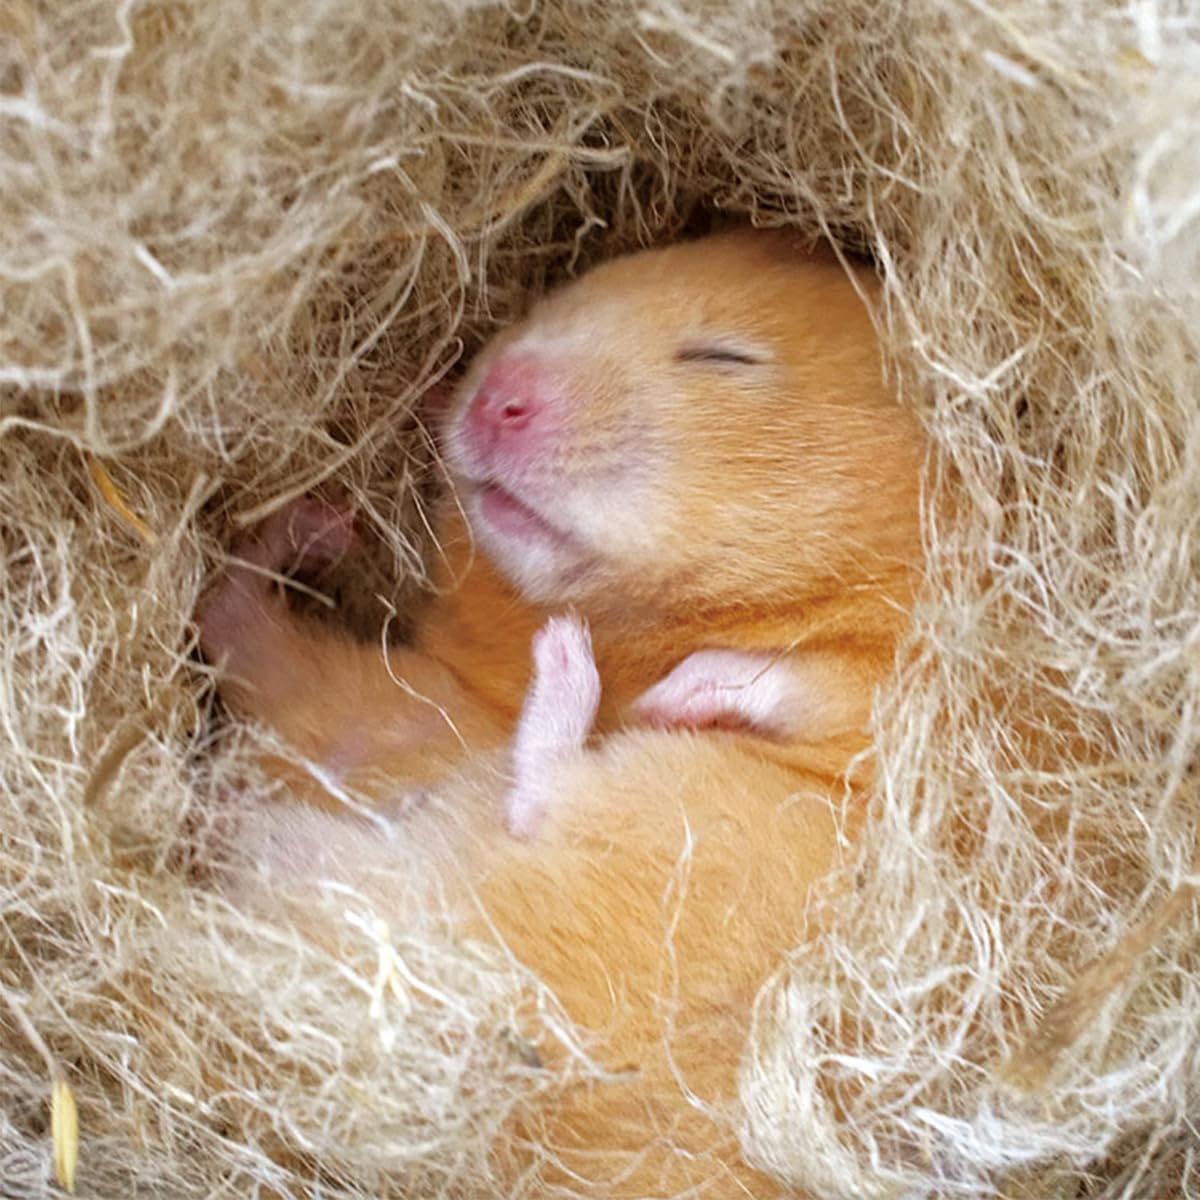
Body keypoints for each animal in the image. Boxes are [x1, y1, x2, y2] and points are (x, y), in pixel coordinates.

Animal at [197, 229, 925, 1196]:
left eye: (724, 358)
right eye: (559, 298)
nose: (497, 393)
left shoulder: (912, 672)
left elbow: (815, 682)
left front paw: (681, 690)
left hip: (693, 831)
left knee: (538, 800)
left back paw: (564, 667)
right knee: (251, 642)